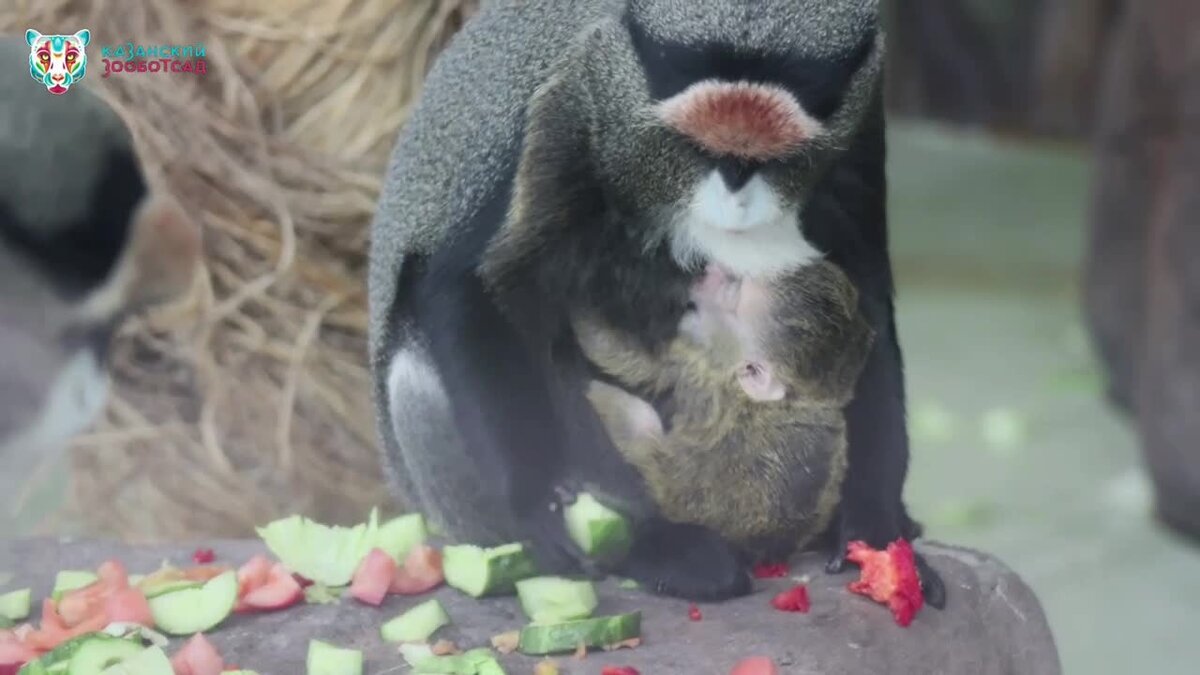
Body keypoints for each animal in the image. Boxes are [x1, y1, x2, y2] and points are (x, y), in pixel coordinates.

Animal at [576, 260, 878, 559]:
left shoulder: (699, 365)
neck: (789, 399)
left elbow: (626, 358)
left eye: (732, 288)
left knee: (641, 426)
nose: (713, 271)